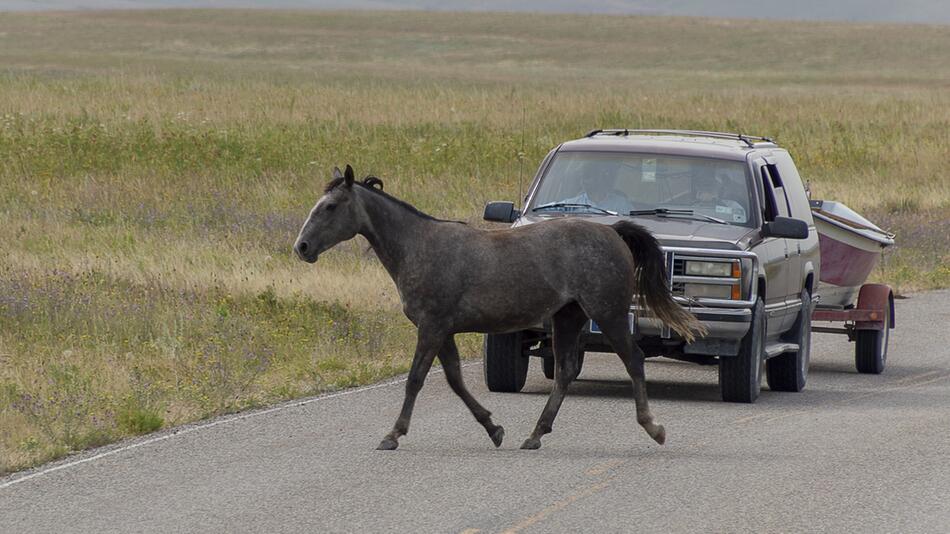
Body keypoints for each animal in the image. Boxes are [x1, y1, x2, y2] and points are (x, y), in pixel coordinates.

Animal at [294, 166, 704, 452]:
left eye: (330, 207)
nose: (302, 247)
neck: (419, 247)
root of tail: (613, 231)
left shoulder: (431, 328)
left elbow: (415, 380)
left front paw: (392, 435)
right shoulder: (443, 331)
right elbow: (456, 380)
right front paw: (494, 429)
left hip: (609, 314)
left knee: (633, 360)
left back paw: (653, 428)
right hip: (568, 318)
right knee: (565, 372)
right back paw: (535, 435)